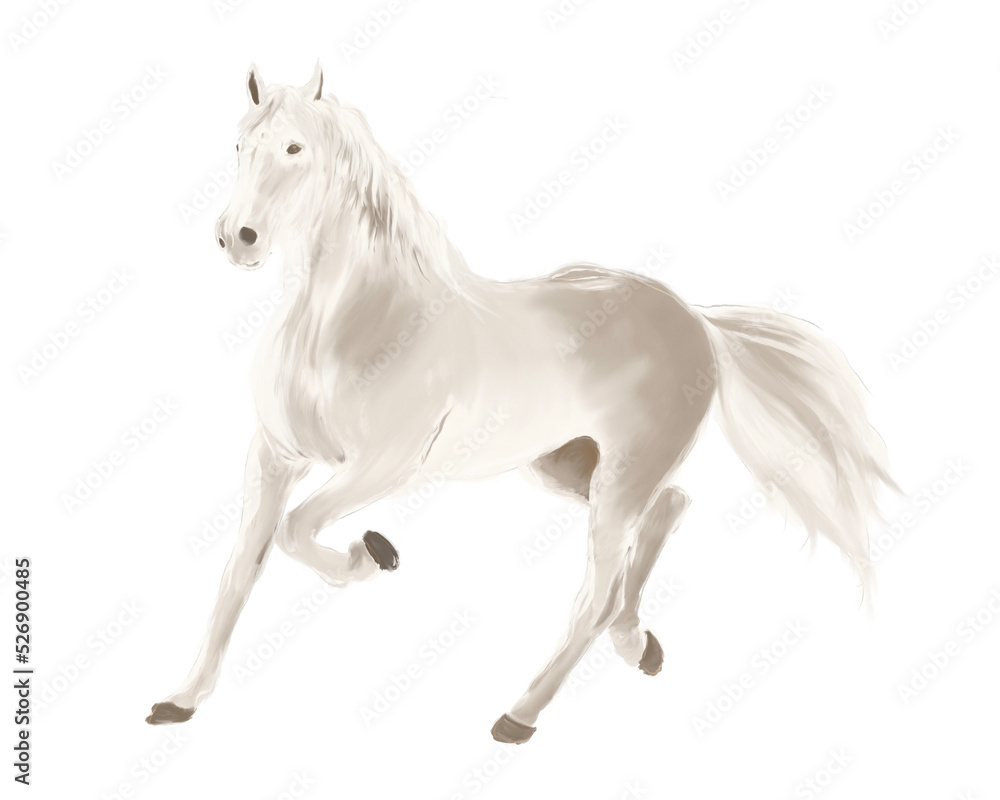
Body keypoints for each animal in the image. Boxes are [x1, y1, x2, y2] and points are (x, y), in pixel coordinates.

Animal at [146, 63, 897, 744]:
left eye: (296, 148)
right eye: (239, 145)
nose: (237, 238)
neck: (351, 323)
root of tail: (696, 320)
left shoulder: (382, 465)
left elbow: (297, 531)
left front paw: (375, 554)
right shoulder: (275, 457)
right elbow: (241, 569)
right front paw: (179, 702)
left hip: (619, 475)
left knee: (598, 591)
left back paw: (519, 716)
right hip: (571, 467)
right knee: (669, 511)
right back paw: (638, 644)